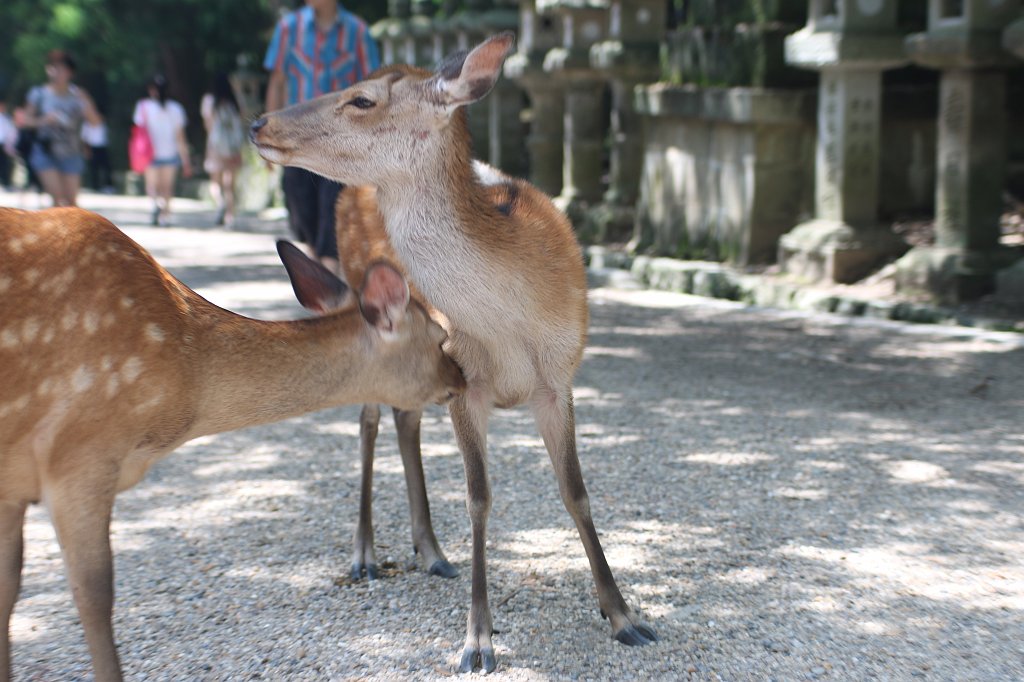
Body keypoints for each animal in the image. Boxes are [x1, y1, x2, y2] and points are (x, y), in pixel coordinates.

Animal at [0, 205, 464, 679]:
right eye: (440, 338)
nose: (462, 379)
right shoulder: (79, 455)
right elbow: (94, 595)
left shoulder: (14, 484)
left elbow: (9, 589)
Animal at [251, 31, 659, 667]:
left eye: (362, 99)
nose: (259, 122)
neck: (512, 326)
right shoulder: (467, 383)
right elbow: (478, 498)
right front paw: (477, 640)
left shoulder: (558, 379)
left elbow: (577, 492)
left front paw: (624, 617)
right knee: (371, 419)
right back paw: (365, 554)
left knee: (405, 418)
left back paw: (432, 551)